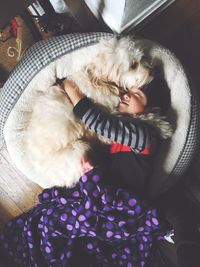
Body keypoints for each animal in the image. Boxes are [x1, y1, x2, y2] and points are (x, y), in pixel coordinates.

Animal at [25, 37, 152, 188]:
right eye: (133, 65)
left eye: (141, 58)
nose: (152, 73)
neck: (98, 81)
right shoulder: (102, 122)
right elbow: (135, 119)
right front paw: (161, 125)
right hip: (78, 148)